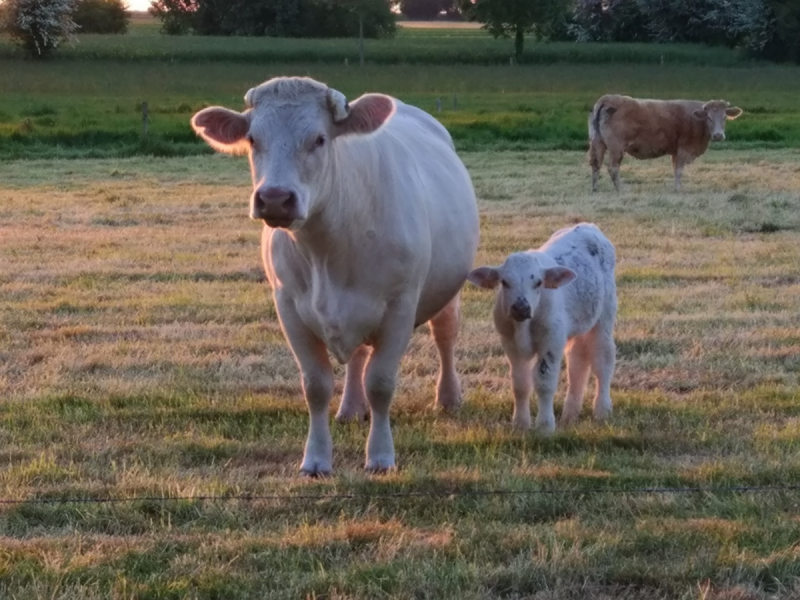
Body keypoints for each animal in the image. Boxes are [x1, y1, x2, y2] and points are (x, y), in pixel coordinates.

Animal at [191, 78, 478, 474]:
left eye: (319, 139)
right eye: (252, 138)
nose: (275, 198)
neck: (327, 247)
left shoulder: (400, 305)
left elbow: (381, 382)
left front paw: (380, 456)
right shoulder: (289, 307)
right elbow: (316, 385)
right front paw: (315, 459)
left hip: (447, 293)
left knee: (445, 337)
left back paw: (448, 398)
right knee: (358, 356)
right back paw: (351, 408)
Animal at [468, 223, 620, 434]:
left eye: (538, 282)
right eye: (504, 282)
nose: (521, 307)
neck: (523, 327)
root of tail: (588, 226)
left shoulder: (552, 340)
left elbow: (544, 382)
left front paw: (545, 426)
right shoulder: (509, 343)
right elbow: (520, 384)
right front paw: (520, 424)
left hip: (604, 318)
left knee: (603, 360)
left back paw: (602, 410)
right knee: (577, 361)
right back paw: (570, 413)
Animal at [588, 95, 744, 192]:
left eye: (724, 117)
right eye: (709, 118)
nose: (718, 135)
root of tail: (608, 98)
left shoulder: (675, 151)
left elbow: (675, 168)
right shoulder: (684, 148)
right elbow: (679, 170)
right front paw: (678, 189)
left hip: (598, 142)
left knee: (596, 164)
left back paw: (595, 188)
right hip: (616, 147)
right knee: (613, 168)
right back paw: (621, 189)